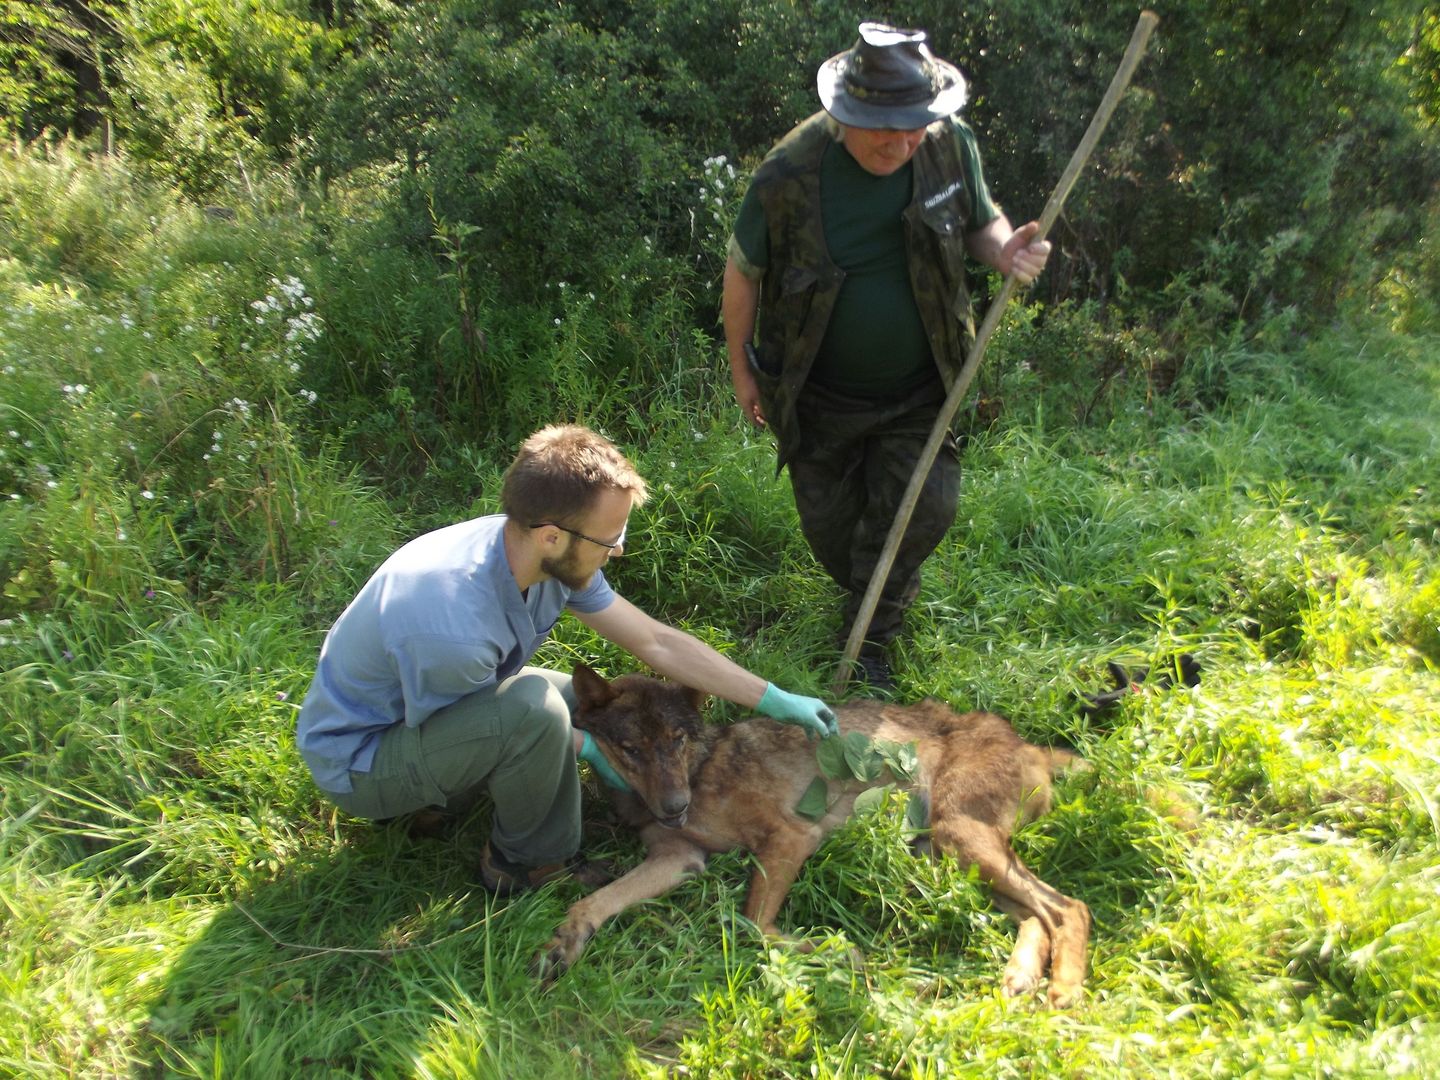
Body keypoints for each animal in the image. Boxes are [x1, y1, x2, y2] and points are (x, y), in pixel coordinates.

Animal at [541, 665, 1088, 1013]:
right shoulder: (679, 858)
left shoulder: (791, 838)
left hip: (958, 841)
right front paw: (565, 941)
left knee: (1068, 908)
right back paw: (1021, 976)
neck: (701, 768)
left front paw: (833, 951)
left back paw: (1064, 989)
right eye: (630, 748)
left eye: (676, 740)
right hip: (943, 858)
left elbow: (755, 925)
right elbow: (594, 901)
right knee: (1037, 916)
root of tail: (1028, 743)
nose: (675, 808)